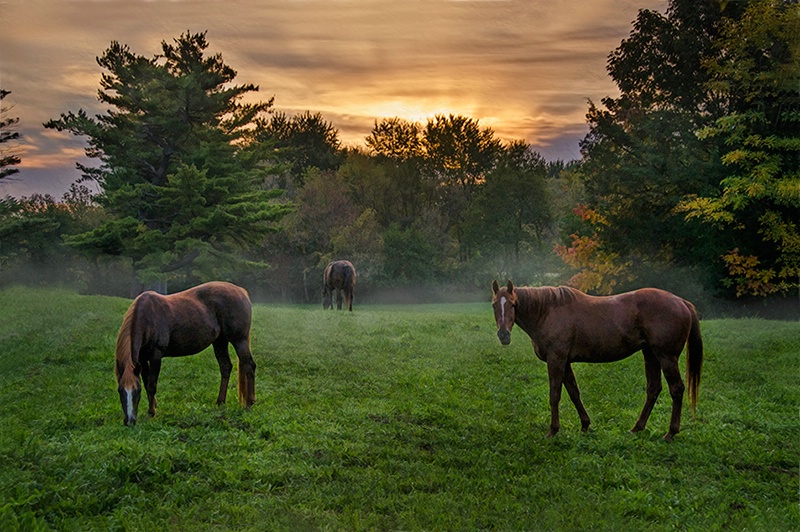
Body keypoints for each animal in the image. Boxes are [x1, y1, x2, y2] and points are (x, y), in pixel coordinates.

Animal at [112, 280, 255, 426]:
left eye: (137, 390)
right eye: (120, 391)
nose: (129, 421)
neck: (147, 317)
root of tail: (241, 291)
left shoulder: (156, 356)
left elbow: (152, 385)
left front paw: (151, 413)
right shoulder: (142, 359)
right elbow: (147, 382)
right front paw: (153, 406)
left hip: (239, 340)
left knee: (249, 366)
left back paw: (249, 404)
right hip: (220, 341)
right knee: (225, 367)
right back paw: (220, 402)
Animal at [490, 278, 704, 440]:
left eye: (513, 304)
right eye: (494, 305)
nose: (503, 335)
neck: (548, 311)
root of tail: (681, 302)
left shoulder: (556, 359)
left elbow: (555, 395)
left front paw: (553, 430)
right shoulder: (565, 362)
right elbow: (574, 393)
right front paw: (585, 425)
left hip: (666, 357)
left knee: (676, 389)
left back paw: (670, 433)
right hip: (651, 354)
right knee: (653, 389)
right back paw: (637, 428)